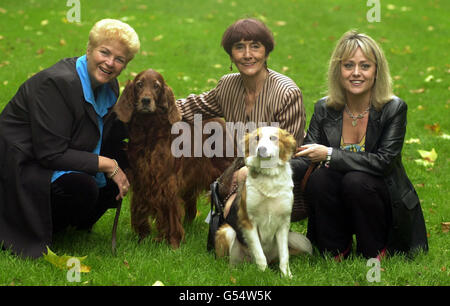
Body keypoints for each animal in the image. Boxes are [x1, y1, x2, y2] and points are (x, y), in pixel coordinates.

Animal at [114, 69, 232, 249]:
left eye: (156, 86)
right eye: (139, 84)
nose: (146, 100)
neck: (149, 133)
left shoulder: (167, 181)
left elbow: (170, 212)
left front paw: (174, 242)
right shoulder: (141, 180)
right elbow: (139, 209)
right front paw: (142, 237)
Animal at [215, 126, 312, 278]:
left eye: (273, 138)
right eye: (256, 138)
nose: (261, 149)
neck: (269, 177)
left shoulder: (283, 224)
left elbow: (285, 256)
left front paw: (286, 276)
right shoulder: (248, 222)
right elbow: (260, 255)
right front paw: (264, 275)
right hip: (227, 231)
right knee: (231, 263)